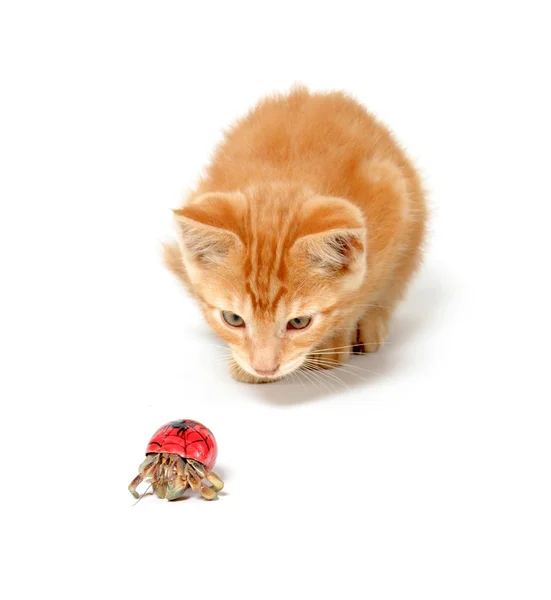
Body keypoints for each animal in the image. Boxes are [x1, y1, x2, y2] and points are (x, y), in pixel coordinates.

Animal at [164, 86, 426, 382]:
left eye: (299, 322)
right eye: (233, 319)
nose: (264, 368)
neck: (283, 181)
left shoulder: (393, 195)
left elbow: (366, 293)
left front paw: (332, 342)